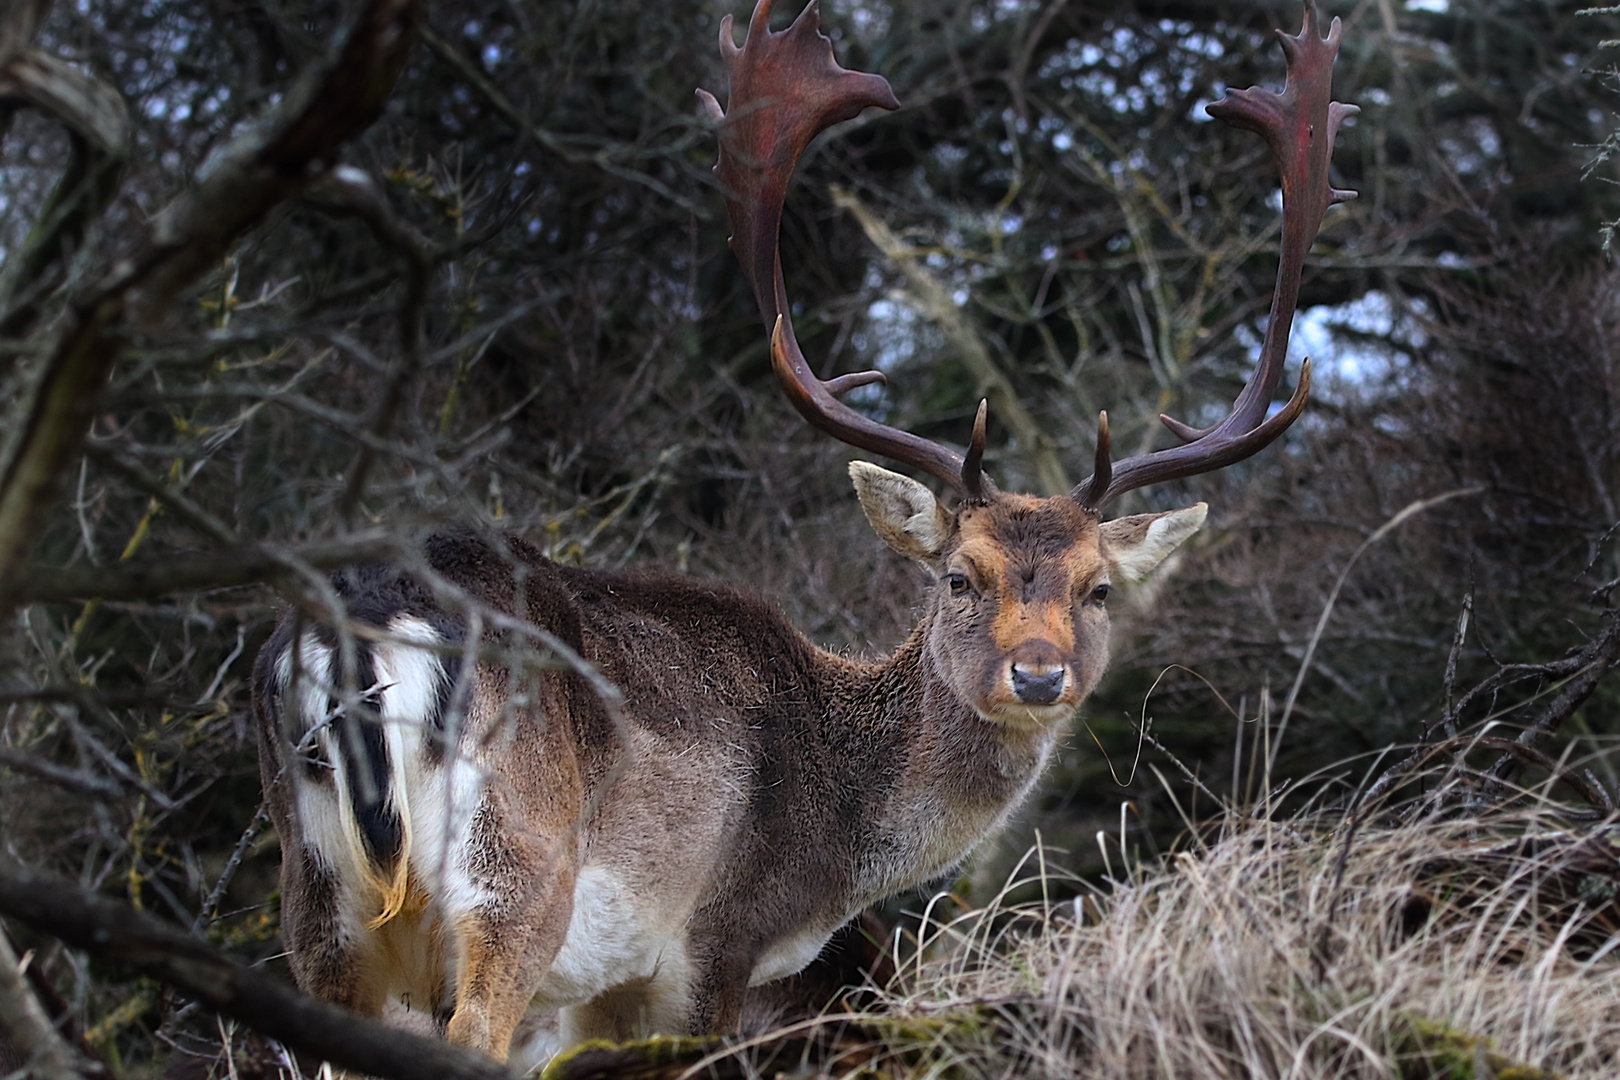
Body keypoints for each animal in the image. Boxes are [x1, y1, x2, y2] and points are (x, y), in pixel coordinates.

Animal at [252, 0, 1354, 1062]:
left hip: (320, 905)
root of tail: (363, 630)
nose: (1039, 675)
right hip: (511, 874)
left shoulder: (610, 992)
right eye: (959, 576)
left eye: (1100, 587)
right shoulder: (714, 943)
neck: (836, 854)